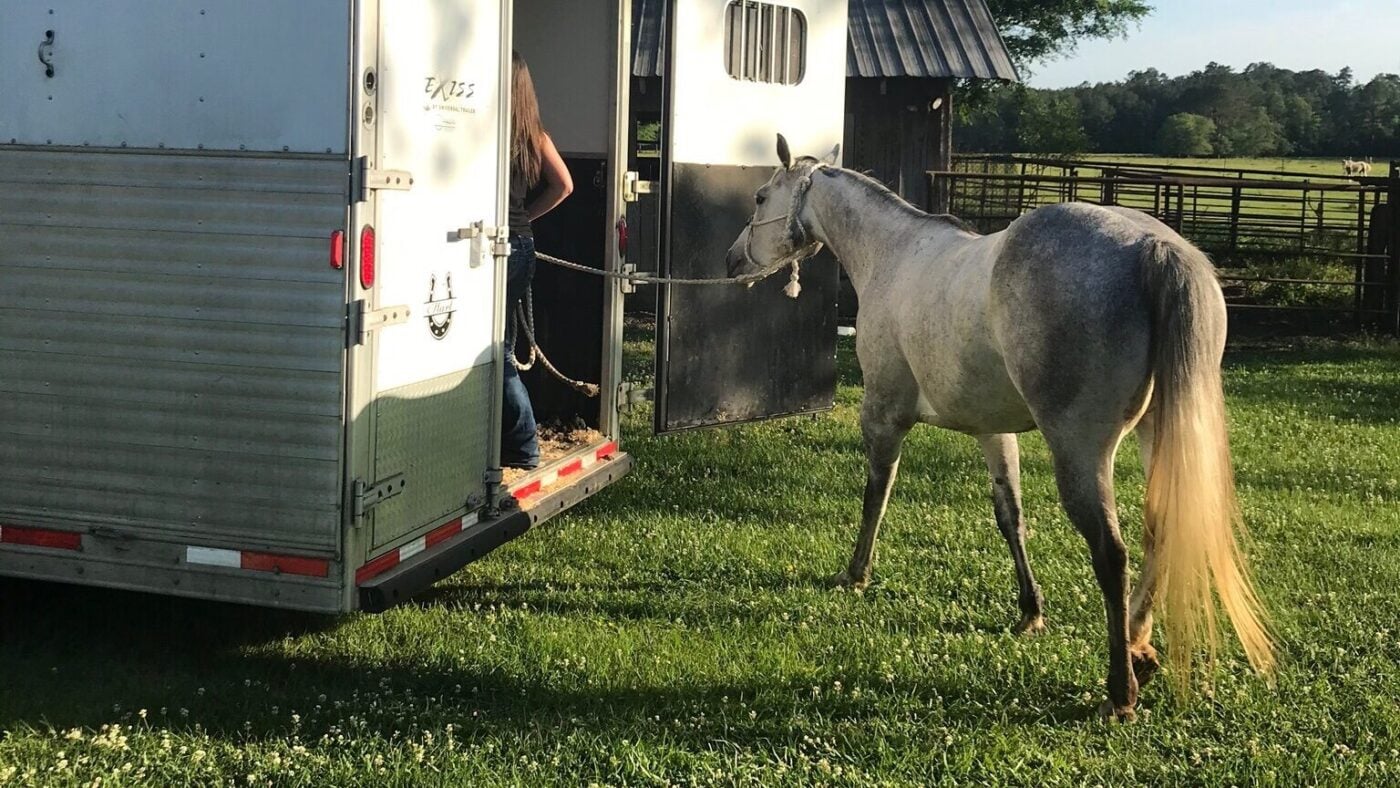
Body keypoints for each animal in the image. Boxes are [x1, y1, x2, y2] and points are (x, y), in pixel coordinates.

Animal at [726, 135, 1275, 720]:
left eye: (760, 197)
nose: (733, 259)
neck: (893, 254)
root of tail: (1155, 247)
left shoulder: (883, 416)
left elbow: (877, 495)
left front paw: (856, 575)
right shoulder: (994, 432)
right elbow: (1010, 516)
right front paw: (1030, 611)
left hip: (1080, 449)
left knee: (1112, 552)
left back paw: (1120, 689)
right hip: (1158, 436)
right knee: (1161, 528)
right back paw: (1137, 646)